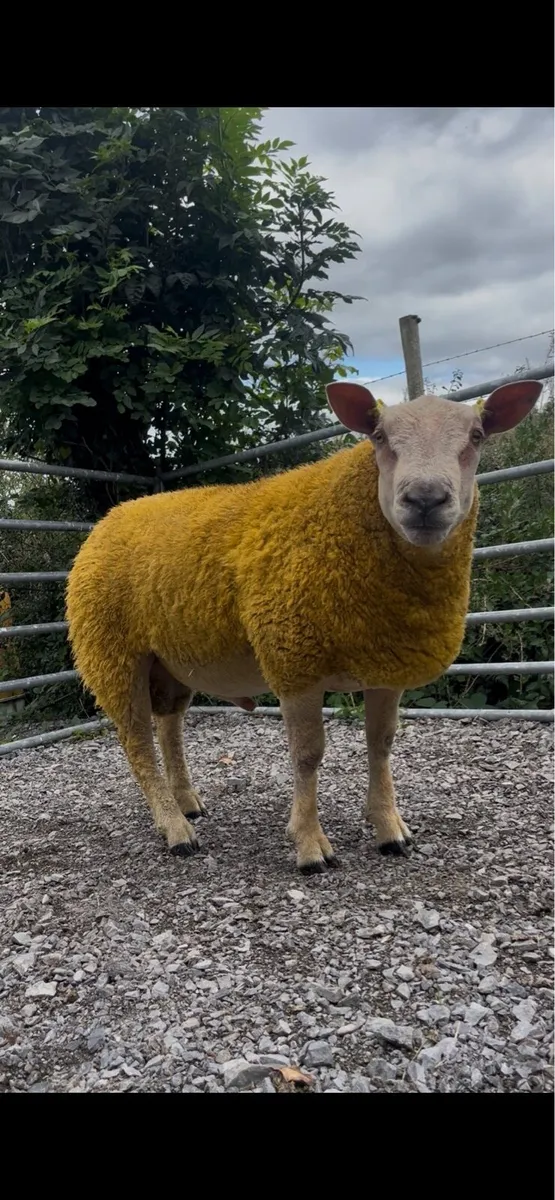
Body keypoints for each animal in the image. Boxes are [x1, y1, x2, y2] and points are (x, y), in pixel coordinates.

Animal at [65, 378, 542, 873]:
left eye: (477, 436)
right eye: (379, 437)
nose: (425, 500)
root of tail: (112, 516)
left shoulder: (385, 667)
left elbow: (381, 743)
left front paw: (389, 829)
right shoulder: (294, 660)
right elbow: (308, 756)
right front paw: (310, 846)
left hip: (169, 661)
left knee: (169, 727)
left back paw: (186, 801)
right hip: (113, 653)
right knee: (137, 740)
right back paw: (175, 828)